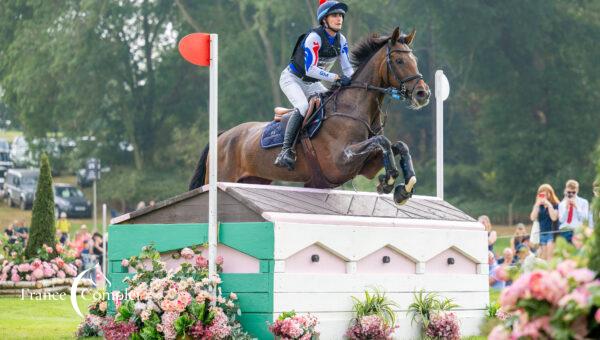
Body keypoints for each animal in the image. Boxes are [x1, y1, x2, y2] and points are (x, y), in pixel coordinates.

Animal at [190, 27, 428, 203]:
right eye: (399, 61)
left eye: (415, 60)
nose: (423, 93)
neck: (355, 109)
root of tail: (222, 136)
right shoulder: (341, 160)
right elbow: (383, 141)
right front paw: (389, 181)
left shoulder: (366, 165)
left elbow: (398, 145)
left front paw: (404, 187)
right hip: (221, 178)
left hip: (252, 180)